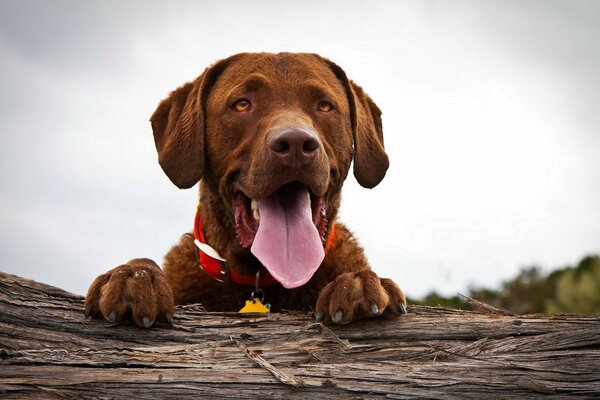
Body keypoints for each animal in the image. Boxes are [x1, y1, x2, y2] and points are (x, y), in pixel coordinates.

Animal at [84, 52, 408, 328]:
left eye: (325, 105)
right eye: (242, 104)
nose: (295, 144)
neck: (262, 278)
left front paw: (357, 282)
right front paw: (133, 276)